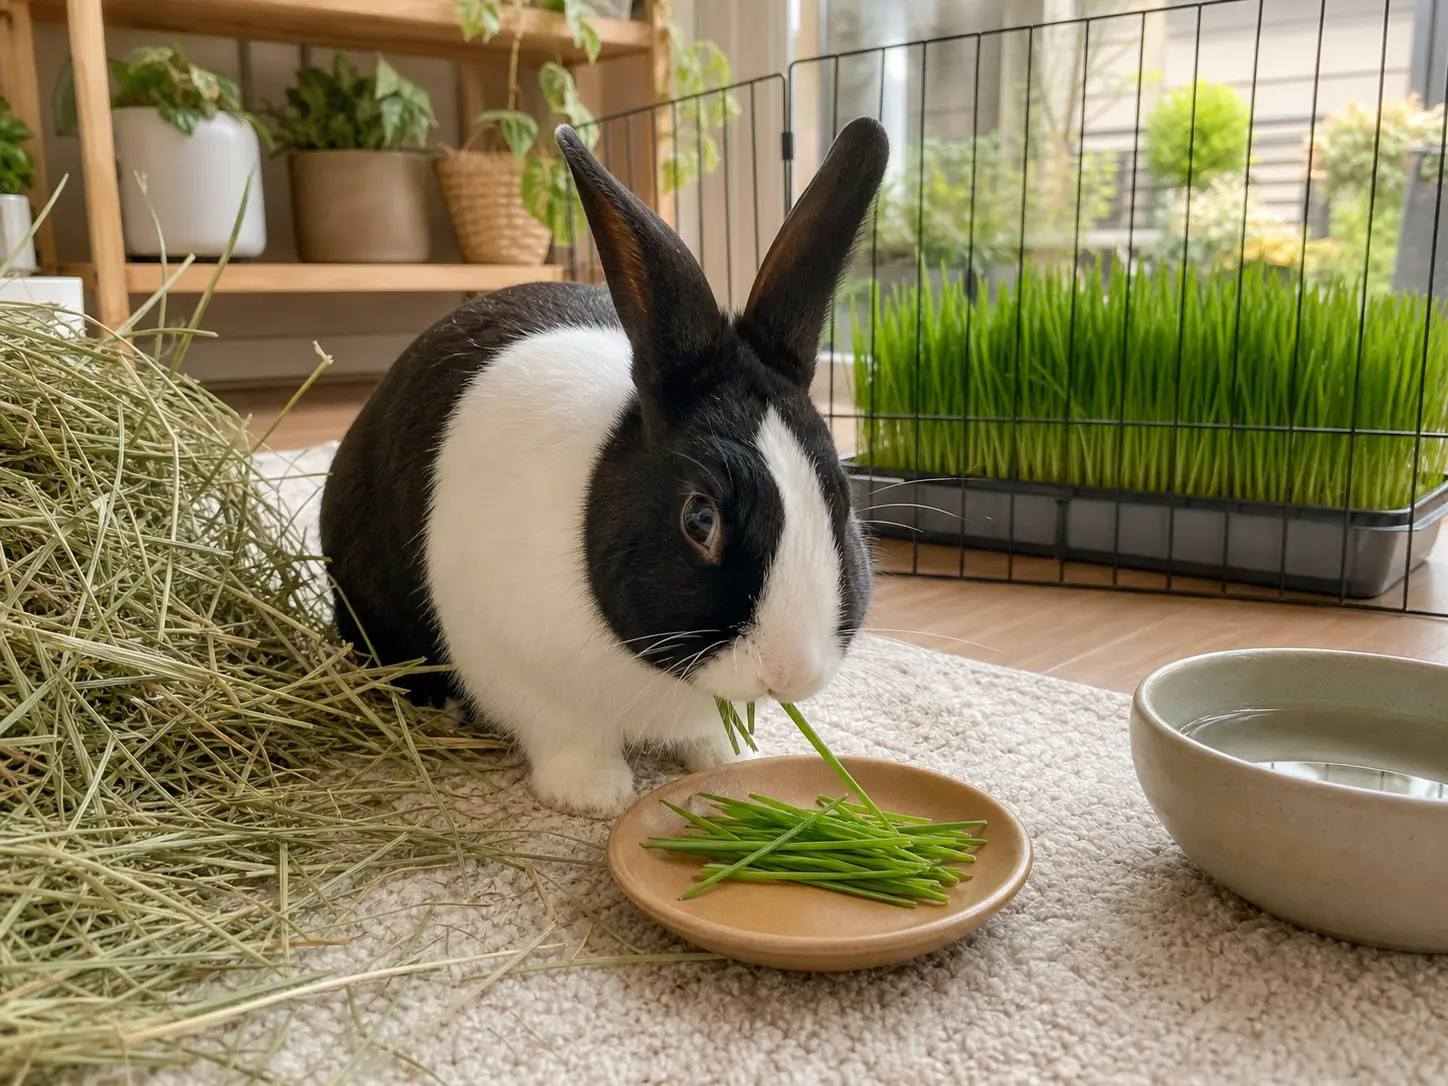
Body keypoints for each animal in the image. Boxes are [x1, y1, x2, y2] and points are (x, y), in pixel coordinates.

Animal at [319, 116, 890, 817]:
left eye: (841, 500)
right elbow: (568, 739)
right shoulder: (522, 676)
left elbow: (703, 737)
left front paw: (725, 757)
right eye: (699, 520)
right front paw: (596, 796)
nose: (790, 672)